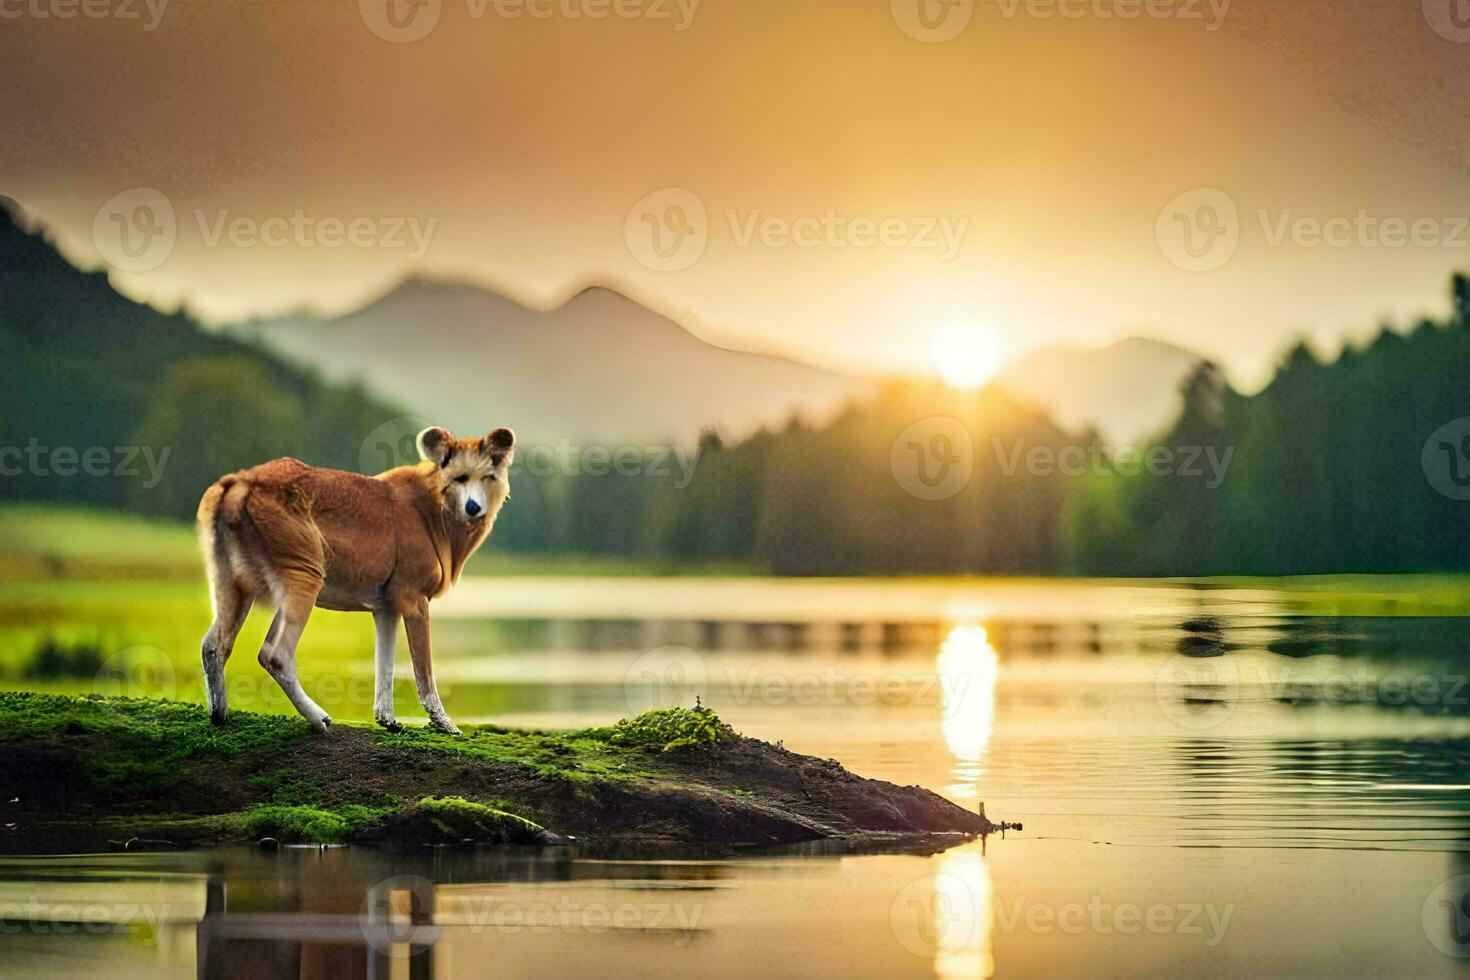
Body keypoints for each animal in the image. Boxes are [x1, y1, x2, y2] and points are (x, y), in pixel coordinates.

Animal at [195, 426, 514, 731]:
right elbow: (424, 673)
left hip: (234, 585)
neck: (434, 511)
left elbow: (384, 665)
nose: (473, 507)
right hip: (305, 575)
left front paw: (388, 719)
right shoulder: (414, 598)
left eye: (488, 476)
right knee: (275, 655)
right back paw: (319, 718)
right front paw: (445, 723)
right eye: (459, 477)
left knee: (213, 646)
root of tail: (239, 481)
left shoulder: (387, 607)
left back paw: (219, 715)